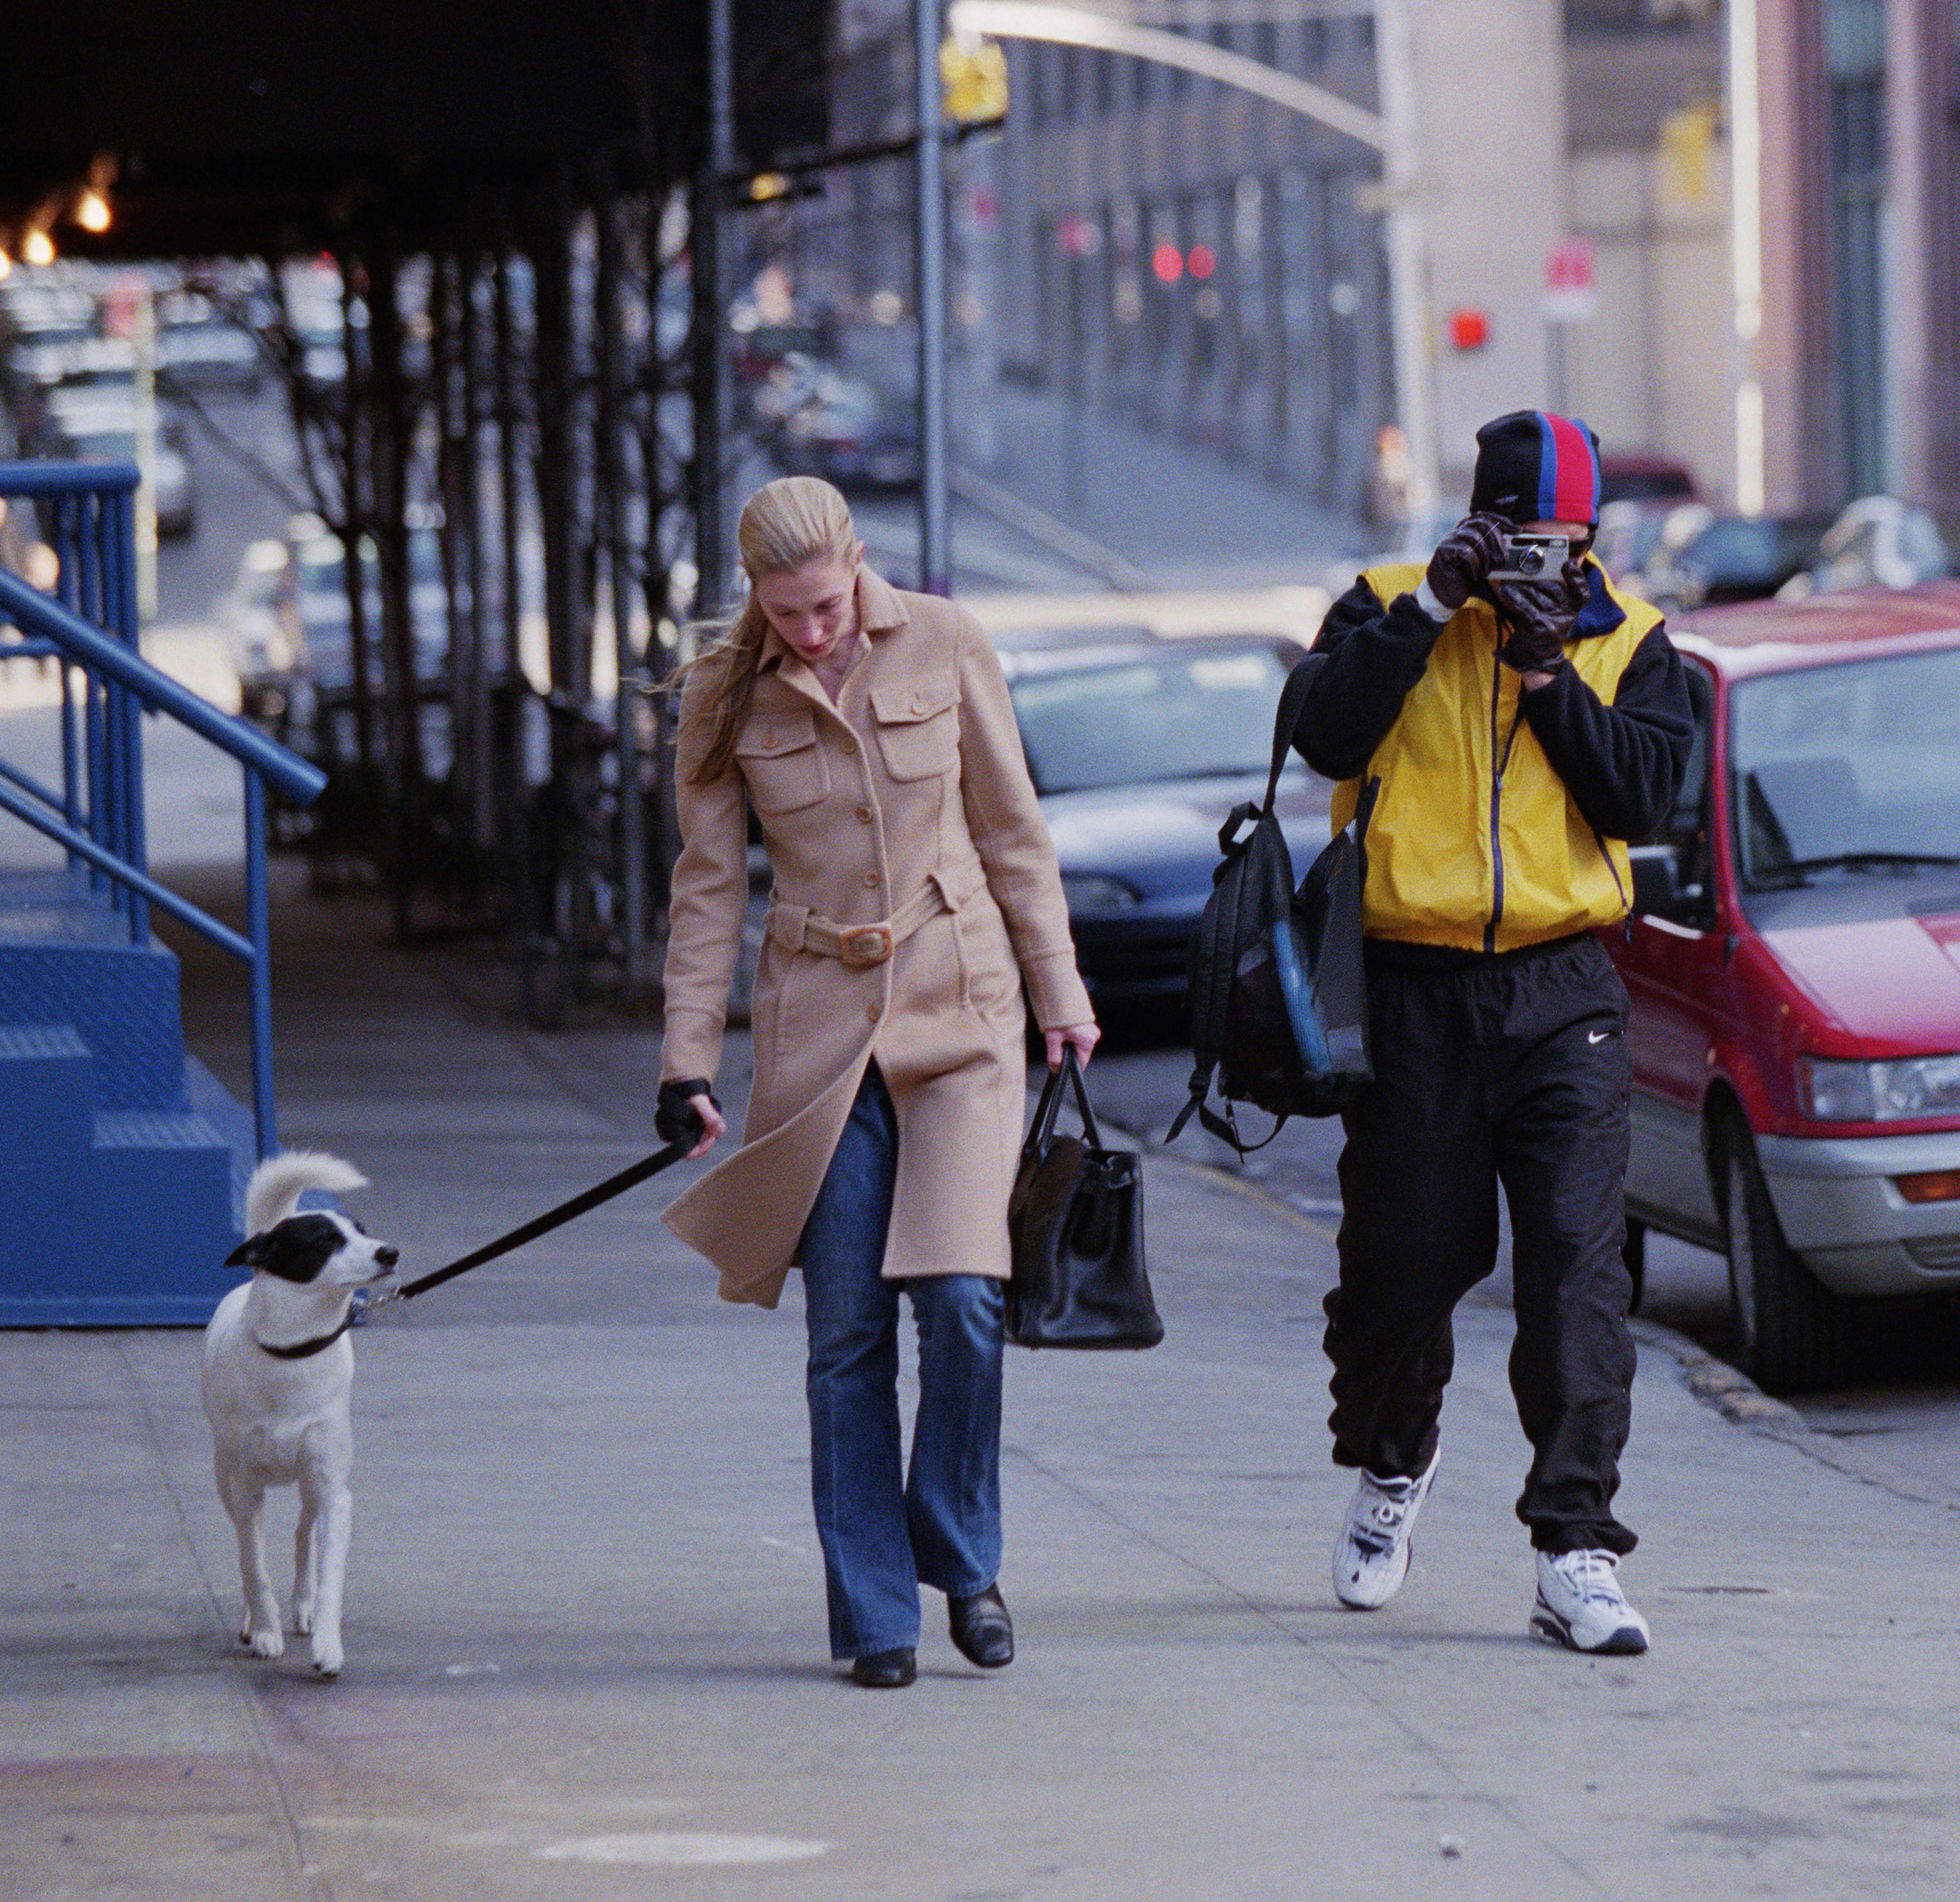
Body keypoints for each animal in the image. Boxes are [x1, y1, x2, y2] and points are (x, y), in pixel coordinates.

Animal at [201, 1152, 396, 1676]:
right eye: (324, 1238)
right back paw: (254, 1619)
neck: (293, 1353)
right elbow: (254, 1564)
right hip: (227, 1479)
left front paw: (328, 1644)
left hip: (310, 1487)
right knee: (251, 1543)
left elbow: (330, 1574)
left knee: (304, 1534)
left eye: (361, 1229)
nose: (390, 1252)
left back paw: (303, 1606)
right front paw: (266, 1630)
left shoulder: (334, 1489)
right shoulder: (245, 1486)